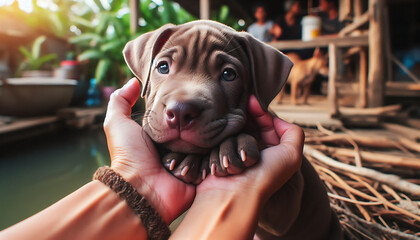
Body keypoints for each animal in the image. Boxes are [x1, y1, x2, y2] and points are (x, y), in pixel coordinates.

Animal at [122, 21, 342, 240]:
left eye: (228, 74)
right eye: (163, 67)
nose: (181, 110)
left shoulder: (288, 203)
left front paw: (233, 146)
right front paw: (185, 159)